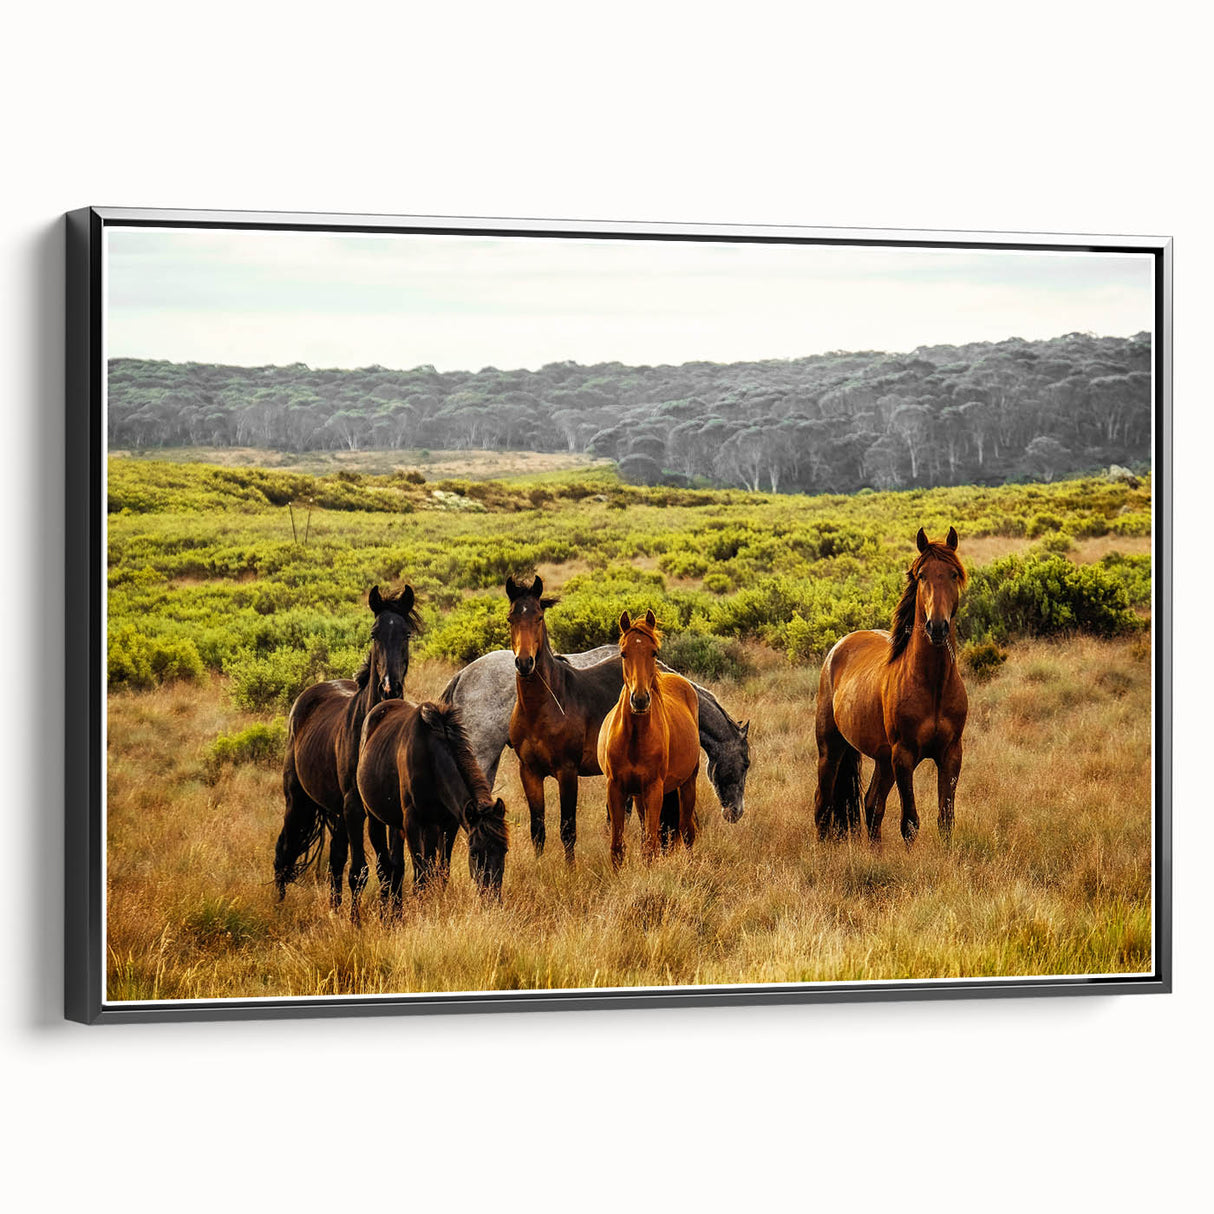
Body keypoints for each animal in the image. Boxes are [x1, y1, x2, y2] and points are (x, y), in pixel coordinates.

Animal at [273, 584, 422, 921]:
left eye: (406, 633)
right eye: (374, 633)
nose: (390, 687)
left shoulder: (388, 813)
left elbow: (392, 867)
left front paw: (392, 917)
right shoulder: (354, 807)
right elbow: (360, 870)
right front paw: (357, 924)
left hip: (336, 813)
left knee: (335, 861)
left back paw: (334, 908)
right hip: (299, 800)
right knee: (284, 851)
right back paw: (279, 906)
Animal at [357, 700, 508, 900]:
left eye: (504, 850)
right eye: (474, 853)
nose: (492, 896)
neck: (431, 759)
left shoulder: (449, 823)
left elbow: (441, 872)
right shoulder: (412, 822)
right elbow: (421, 876)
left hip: (411, 826)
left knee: (398, 866)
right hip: (376, 818)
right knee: (385, 868)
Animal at [504, 574, 625, 862]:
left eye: (538, 617)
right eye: (510, 618)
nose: (524, 663)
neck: (541, 710)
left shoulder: (567, 772)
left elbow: (567, 829)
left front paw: (570, 869)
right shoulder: (529, 772)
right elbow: (538, 829)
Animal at [598, 610, 701, 867]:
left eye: (653, 651)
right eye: (623, 653)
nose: (640, 700)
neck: (634, 738)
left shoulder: (654, 789)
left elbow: (650, 847)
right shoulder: (616, 788)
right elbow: (617, 847)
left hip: (688, 783)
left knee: (687, 831)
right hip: (638, 795)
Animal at [813, 527, 968, 845]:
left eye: (953, 574)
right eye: (921, 575)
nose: (937, 627)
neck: (932, 685)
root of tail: (838, 647)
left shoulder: (951, 754)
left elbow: (945, 819)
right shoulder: (904, 756)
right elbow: (910, 822)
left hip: (883, 759)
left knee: (872, 805)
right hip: (831, 749)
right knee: (822, 805)